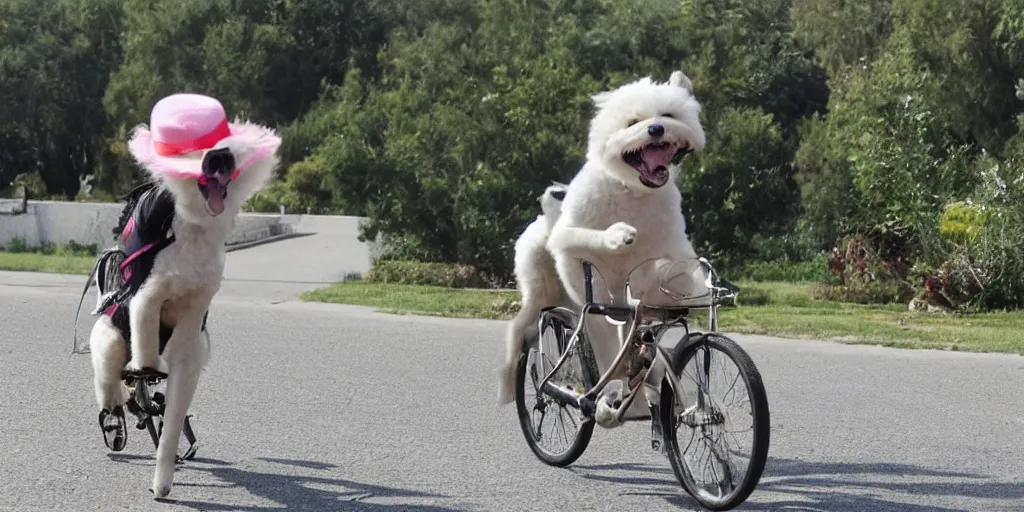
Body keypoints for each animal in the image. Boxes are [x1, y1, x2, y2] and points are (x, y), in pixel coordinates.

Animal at [84, 93, 280, 495]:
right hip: (108, 343)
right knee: (110, 389)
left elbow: (173, 419)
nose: (219, 159)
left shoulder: (195, 315)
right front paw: (144, 374)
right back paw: (117, 418)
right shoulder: (150, 294)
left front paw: (163, 480)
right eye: (189, 148)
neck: (194, 229)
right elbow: (144, 340)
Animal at [507, 70, 708, 425]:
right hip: (547, 289)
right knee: (525, 330)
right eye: (633, 122)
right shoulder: (569, 234)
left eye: (668, 115)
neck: (632, 190)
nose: (656, 129)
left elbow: (671, 273)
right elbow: (586, 236)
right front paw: (618, 235)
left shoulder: (668, 251)